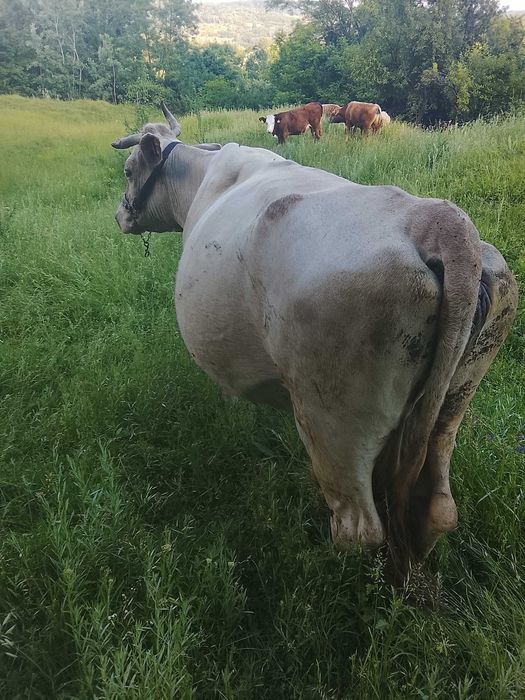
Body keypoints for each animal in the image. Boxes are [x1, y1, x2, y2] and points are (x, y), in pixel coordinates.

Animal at [112, 104, 517, 578]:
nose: (120, 216)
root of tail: (438, 221)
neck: (202, 182)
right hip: (452, 403)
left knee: (357, 526)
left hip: (330, 417)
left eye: (128, 170)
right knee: (438, 508)